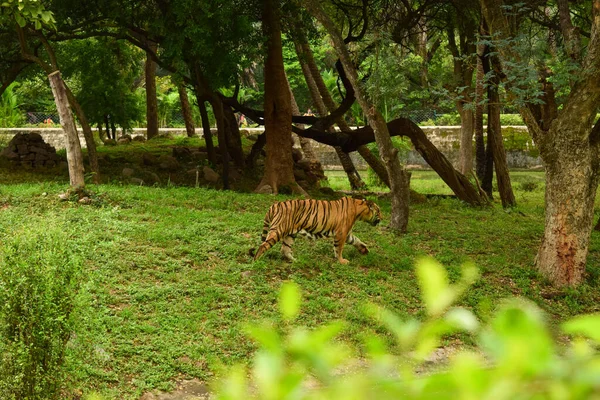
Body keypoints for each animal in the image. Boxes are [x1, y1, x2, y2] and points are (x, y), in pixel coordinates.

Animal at [252, 196, 382, 262]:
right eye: (379, 211)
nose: (382, 217)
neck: (358, 210)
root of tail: (275, 205)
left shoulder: (346, 232)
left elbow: (356, 240)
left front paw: (364, 250)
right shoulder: (341, 233)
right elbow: (339, 248)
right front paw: (341, 261)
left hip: (290, 234)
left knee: (285, 249)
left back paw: (295, 260)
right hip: (278, 230)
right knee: (263, 245)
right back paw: (256, 261)